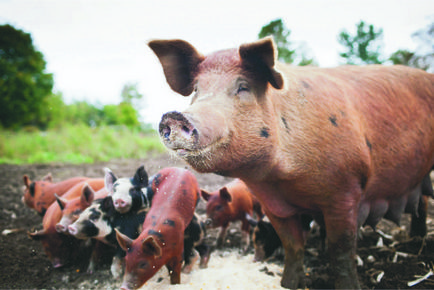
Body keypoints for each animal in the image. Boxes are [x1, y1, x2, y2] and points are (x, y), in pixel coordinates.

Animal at [149, 37, 434, 288]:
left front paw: (349, 286)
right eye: (196, 90)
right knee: (421, 200)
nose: (174, 116)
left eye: (243, 87)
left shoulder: (345, 190)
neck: (282, 180)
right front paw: (288, 284)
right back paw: (417, 236)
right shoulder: (273, 205)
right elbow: (293, 246)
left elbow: (341, 249)